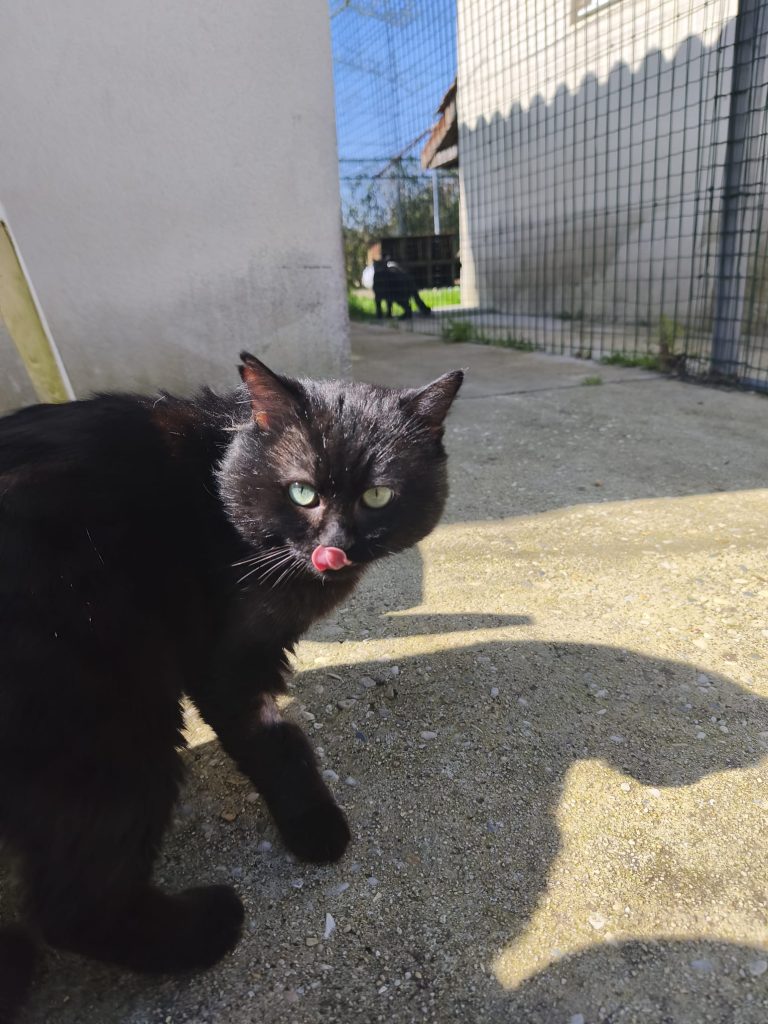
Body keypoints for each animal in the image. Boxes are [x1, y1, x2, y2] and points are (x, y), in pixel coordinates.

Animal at [0, 352, 462, 1020]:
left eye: (377, 496)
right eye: (302, 492)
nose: (335, 549)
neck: (220, 487)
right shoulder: (226, 660)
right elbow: (275, 742)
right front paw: (314, 827)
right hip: (107, 725)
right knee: (75, 904)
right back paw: (207, 927)